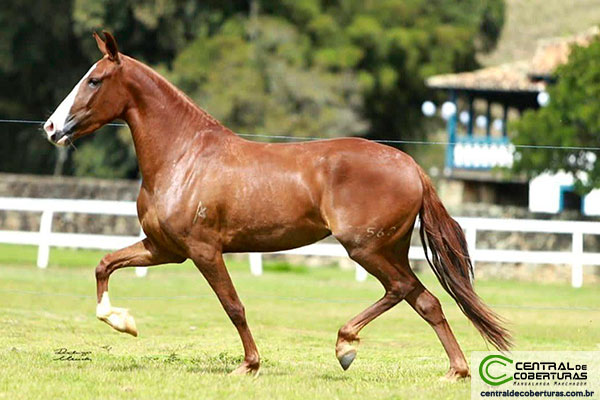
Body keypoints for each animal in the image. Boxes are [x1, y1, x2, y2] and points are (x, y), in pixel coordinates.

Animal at [43, 32, 510, 378]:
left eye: (94, 80)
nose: (50, 127)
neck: (183, 156)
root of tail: (412, 167)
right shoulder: (165, 249)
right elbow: (103, 265)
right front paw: (123, 322)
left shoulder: (203, 250)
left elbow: (233, 306)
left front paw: (248, 366)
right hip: (387, 248)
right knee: (423, 299)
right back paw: (453, 370)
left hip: (366, 248)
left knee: (403, 290)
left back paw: (348, 346)